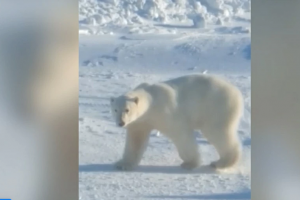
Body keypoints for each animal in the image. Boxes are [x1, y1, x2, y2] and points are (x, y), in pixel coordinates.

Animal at [110, 74, 244, 171]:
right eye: (115, 109)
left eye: (127, 110)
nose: (121, 123)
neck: (152, 101)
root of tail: (236, 92)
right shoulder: (140, 121)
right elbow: (136, 140)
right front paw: (123, 164)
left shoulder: (166, 112)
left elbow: (181, 134)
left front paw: (190, 163)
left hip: (217, 107)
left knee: (217, 132)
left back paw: (220, 163)